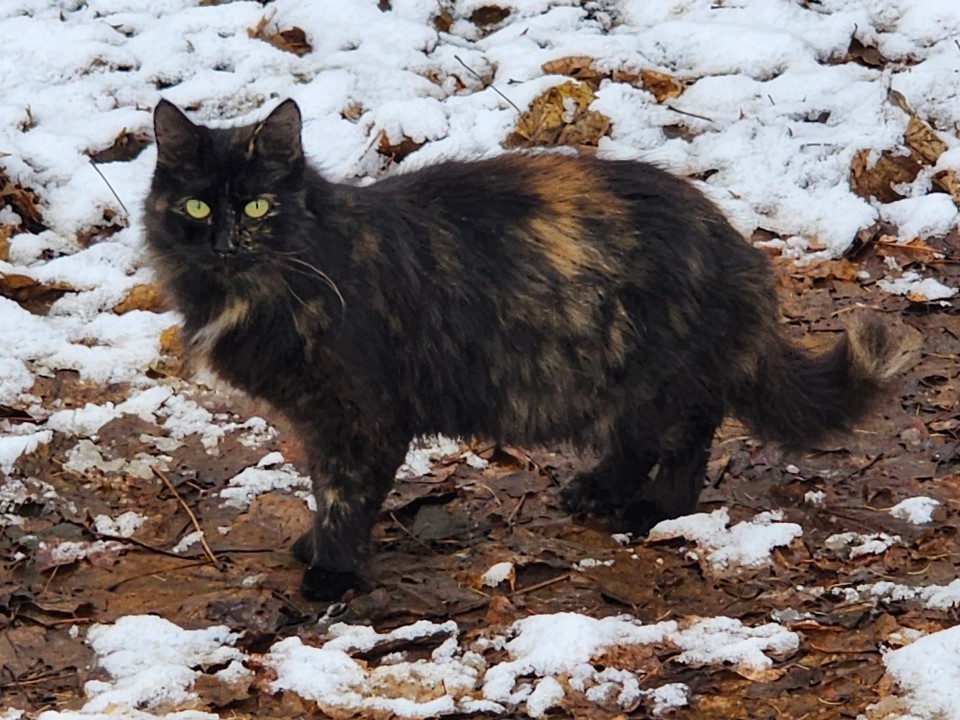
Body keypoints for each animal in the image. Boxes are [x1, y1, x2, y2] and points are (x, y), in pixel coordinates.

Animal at [144, 98, 908, 600]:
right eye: (197, 207)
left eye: (258, 206)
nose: (225, 243)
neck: (258, 287)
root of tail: (733, 243)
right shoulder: (319, 418)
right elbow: (325, 489)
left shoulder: (359, 415)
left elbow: (344, 494)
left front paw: (332, 572)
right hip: (616, 379)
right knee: (641, 439)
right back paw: (596, 490)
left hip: (654, 375)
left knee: (689, 438)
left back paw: (652, 510)